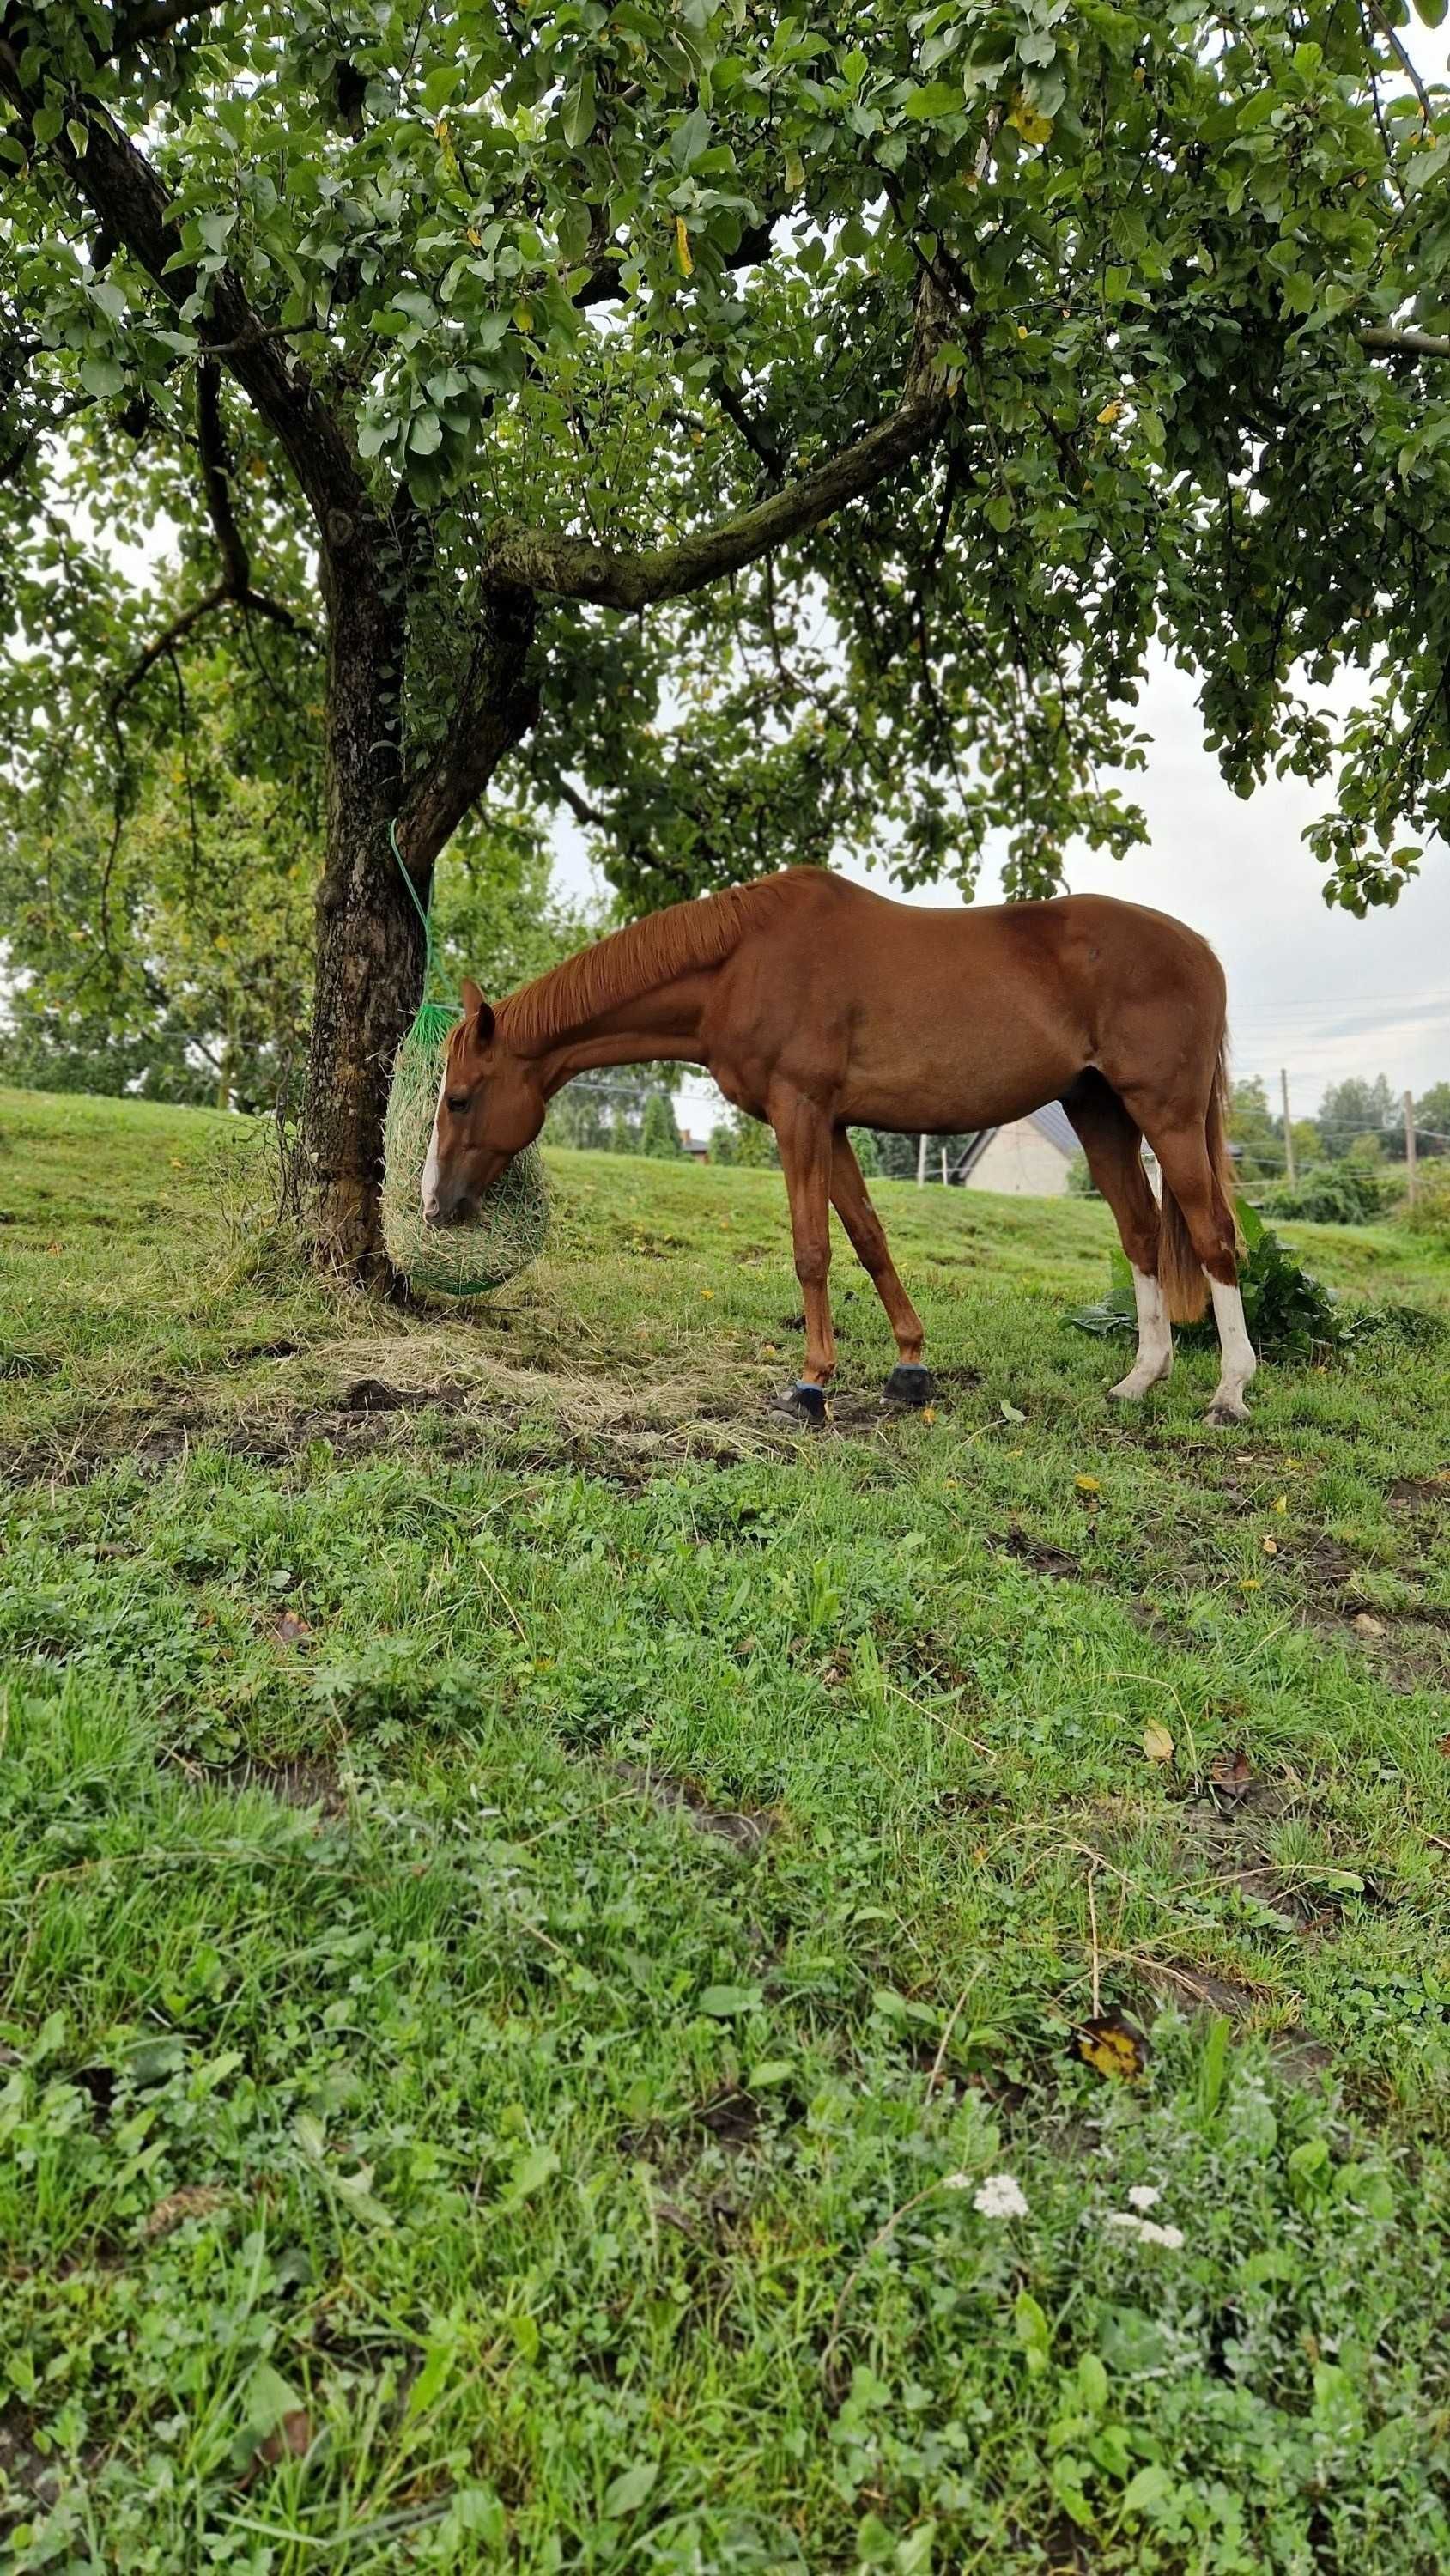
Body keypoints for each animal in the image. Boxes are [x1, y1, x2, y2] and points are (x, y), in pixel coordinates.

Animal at [422, 871, 1262, 1432]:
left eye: (458, 1097)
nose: (434, 1206)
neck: (741, 962)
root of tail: (1201, 950)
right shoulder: (827, 1123)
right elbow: (867, 1237)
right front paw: (910, 1368)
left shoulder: (798, 1112)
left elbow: (811, 1250)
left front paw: (810, 1386)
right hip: (1100, 1114)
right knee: (1141, 1235)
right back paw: (1139, 1380)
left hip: (1165, 1113)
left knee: (1213, 1237)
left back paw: (1228, 1391)